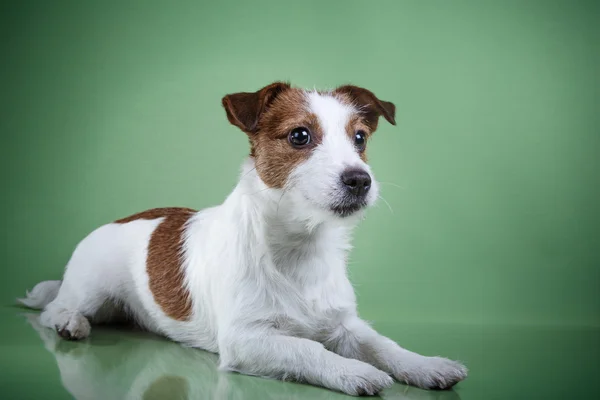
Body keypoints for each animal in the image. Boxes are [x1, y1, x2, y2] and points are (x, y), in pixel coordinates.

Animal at [17, 82, 468, 396]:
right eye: (300, 136)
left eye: (360, 138)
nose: (360, 179)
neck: (300, 247)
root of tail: (120, 219)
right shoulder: (247, 339)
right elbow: (309, 350)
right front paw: (354, 371)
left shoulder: (345, 325)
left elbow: (384, 345)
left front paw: (426, 365)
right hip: (90, 289)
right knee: (53, 309)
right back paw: (70, 323)